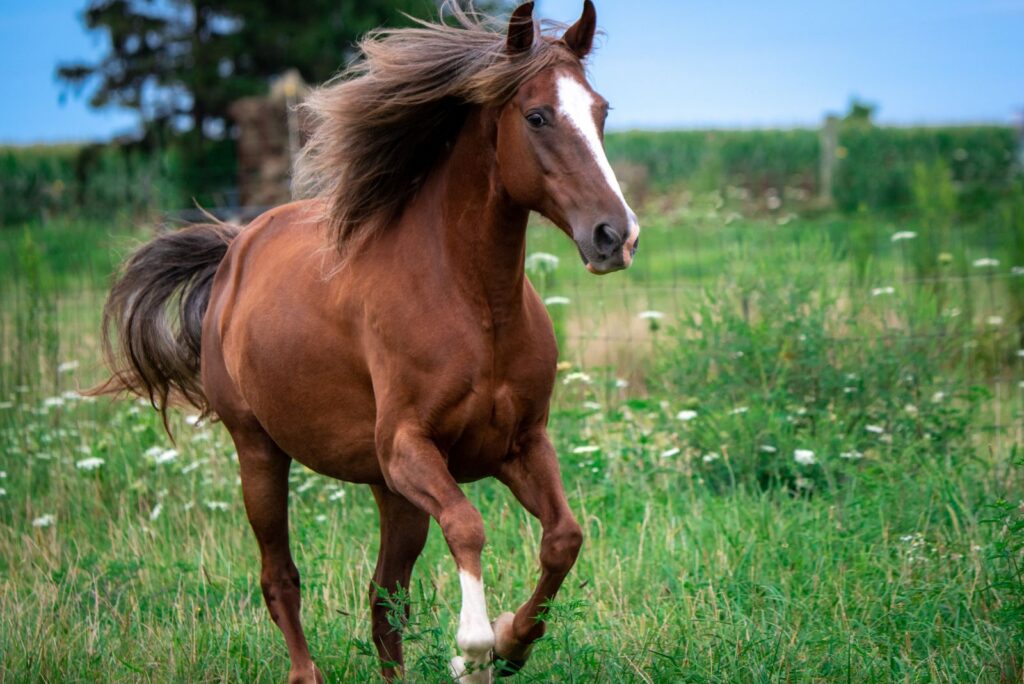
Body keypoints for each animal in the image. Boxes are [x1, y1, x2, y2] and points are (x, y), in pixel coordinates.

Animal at [96, 2, 638, 679]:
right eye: (537, 115)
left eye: (601, 110)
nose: (615, 235)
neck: (476, 307)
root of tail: (236, 248)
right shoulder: (408, 447)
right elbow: (468, 525)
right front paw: (473, 650)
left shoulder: (521, 444)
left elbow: (564, 538)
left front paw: (511, 643)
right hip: (261, 453)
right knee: (281, 577)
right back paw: (306, 672)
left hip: (392, 494)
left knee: (385, 601)